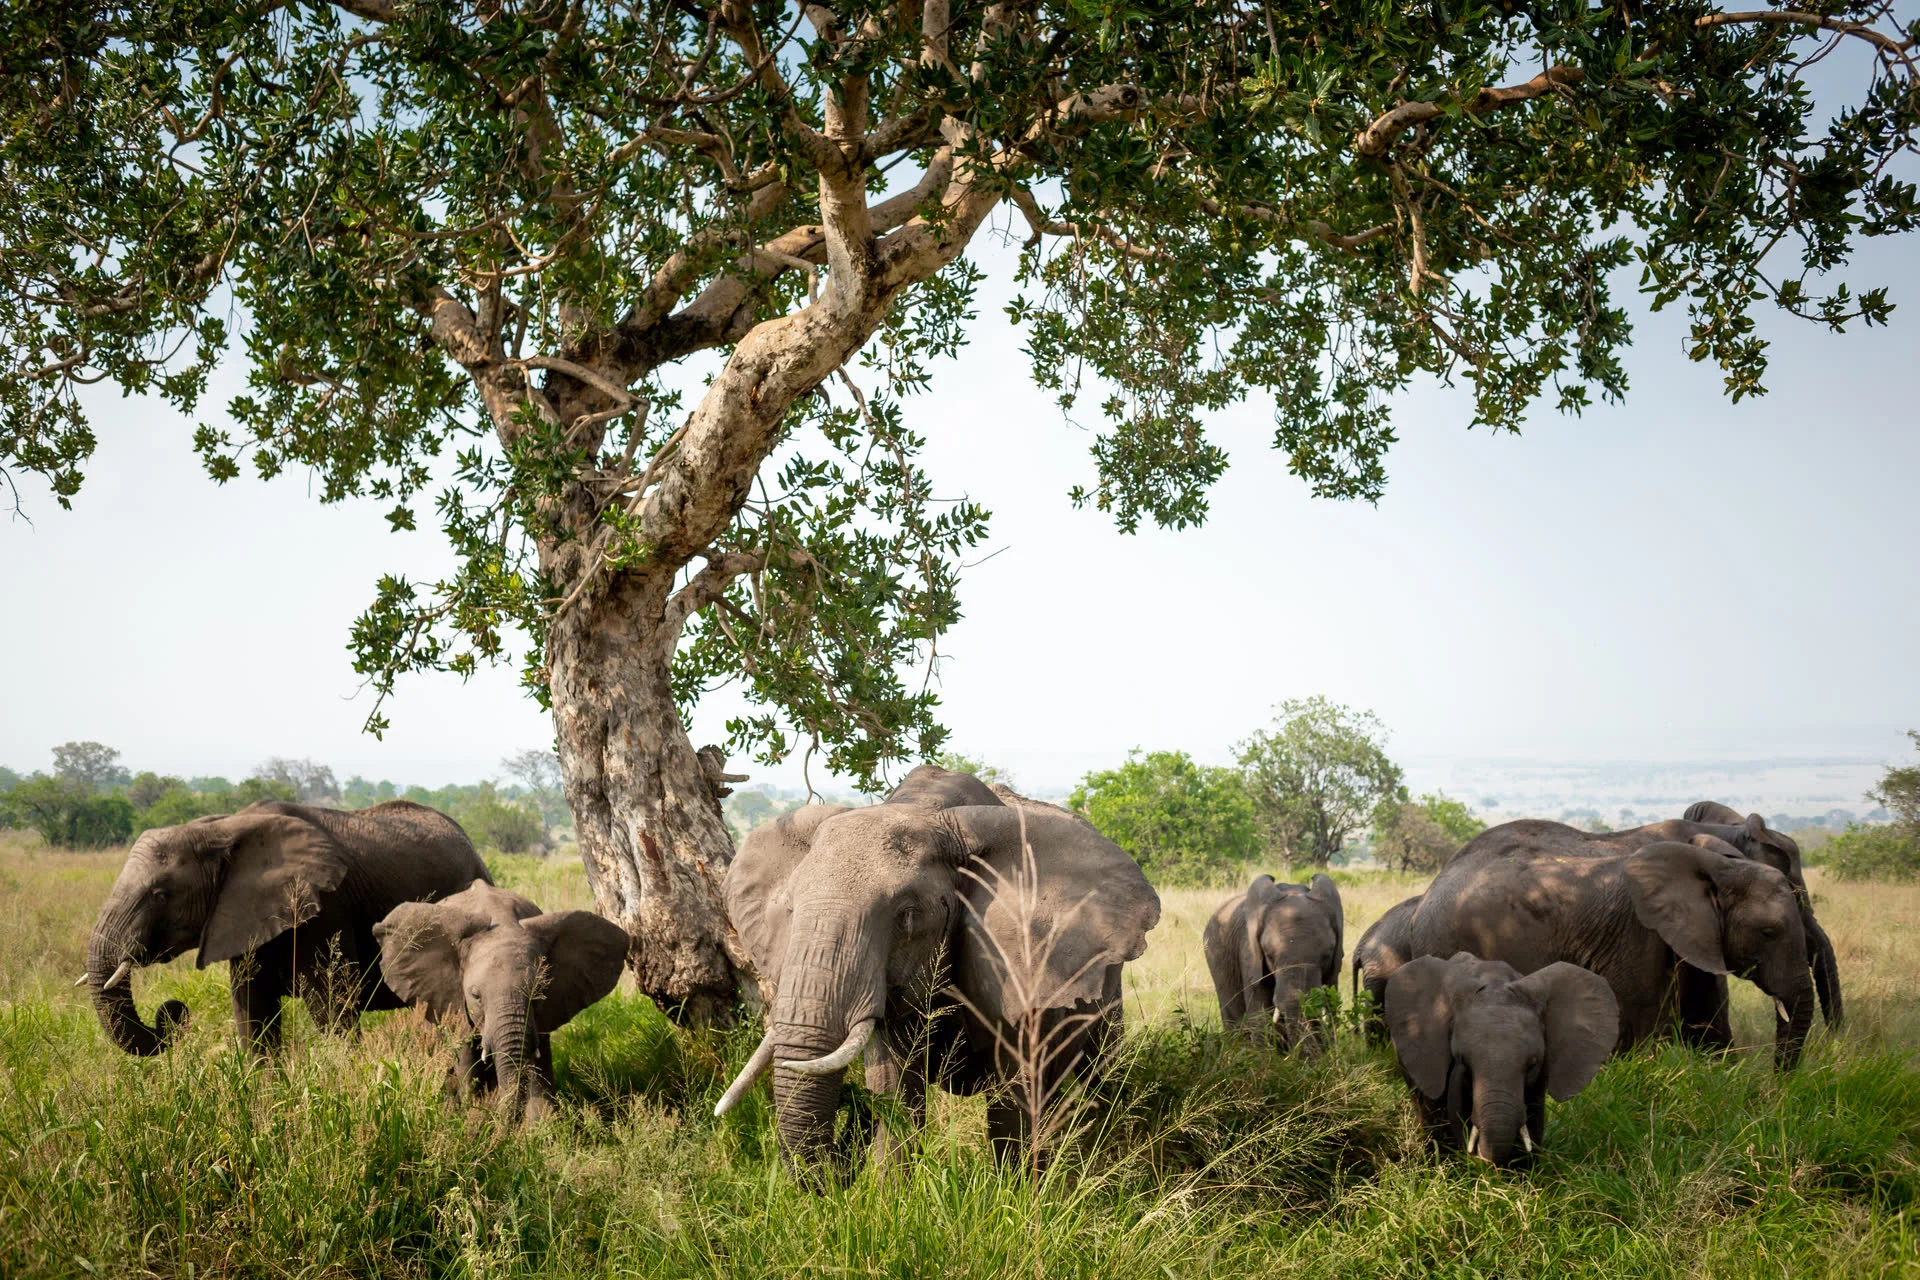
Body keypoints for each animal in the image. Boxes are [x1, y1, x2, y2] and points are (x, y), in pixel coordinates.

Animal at [81, 800, 491, 1054]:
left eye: (160, 895)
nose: (171, 1012)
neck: (221, 828)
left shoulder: (325, 910)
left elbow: (332, 1010)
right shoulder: (240, 917)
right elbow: (252, 1014)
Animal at [373, 879, 629, 1120]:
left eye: (539, 993)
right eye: (475, 996)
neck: (502, 921)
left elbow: (538, 1061)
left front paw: (541, 1126)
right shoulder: (454, 1001)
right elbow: (466, 1058)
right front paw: (475, 1116)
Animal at [716, 764, 1161, 1169]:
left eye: (907, 916)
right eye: (790, 911)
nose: (850, 1121)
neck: (926, 811)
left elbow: (1014, 1103)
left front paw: (1018, 1198)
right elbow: (896, 1094)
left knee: (1101, 1069)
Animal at [1407, 823, 1816, 1068]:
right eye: (1768, 932)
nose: (1776, 1087)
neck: (1715, 867)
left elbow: (1707, 1020)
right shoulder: (1639, 934)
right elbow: (1644, 1030)